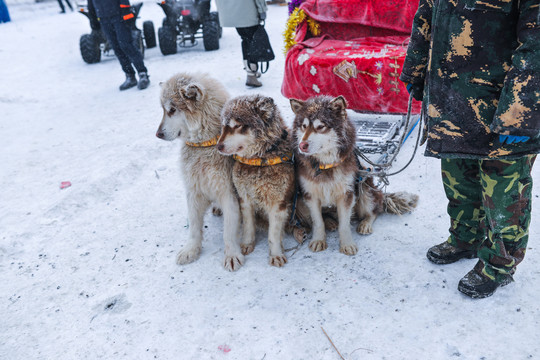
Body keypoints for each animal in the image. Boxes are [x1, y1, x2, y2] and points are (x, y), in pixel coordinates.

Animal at [154, 72, 243, 270]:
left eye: (172, 110)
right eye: (164, 110)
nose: (157, 134)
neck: (203, 146)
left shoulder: (229, 194)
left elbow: (228, 231)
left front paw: (232, 254)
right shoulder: (193, 191)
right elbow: (194, 226)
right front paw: (191, 250)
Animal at [218, 94, 302, 266]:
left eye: (237, 125)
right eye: (223, 126)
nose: (218, 146)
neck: (260, 159)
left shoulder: (279, 204)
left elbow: (273, 235)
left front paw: (275, 254)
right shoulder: (245, 199)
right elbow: (249, 226)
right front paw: (247, 244)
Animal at [288, 94, 420, 255]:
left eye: (320, 127)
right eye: (304, 126)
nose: (302, 145)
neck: (325, 165)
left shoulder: (346, 194)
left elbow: (344, 224)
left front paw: (347, 244)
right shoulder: (310, 195)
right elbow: (317, 221)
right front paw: (319, 240)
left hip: (365, 188)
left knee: (375, 211)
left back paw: (365, 223)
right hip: (299, 201)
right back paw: (330, 222)